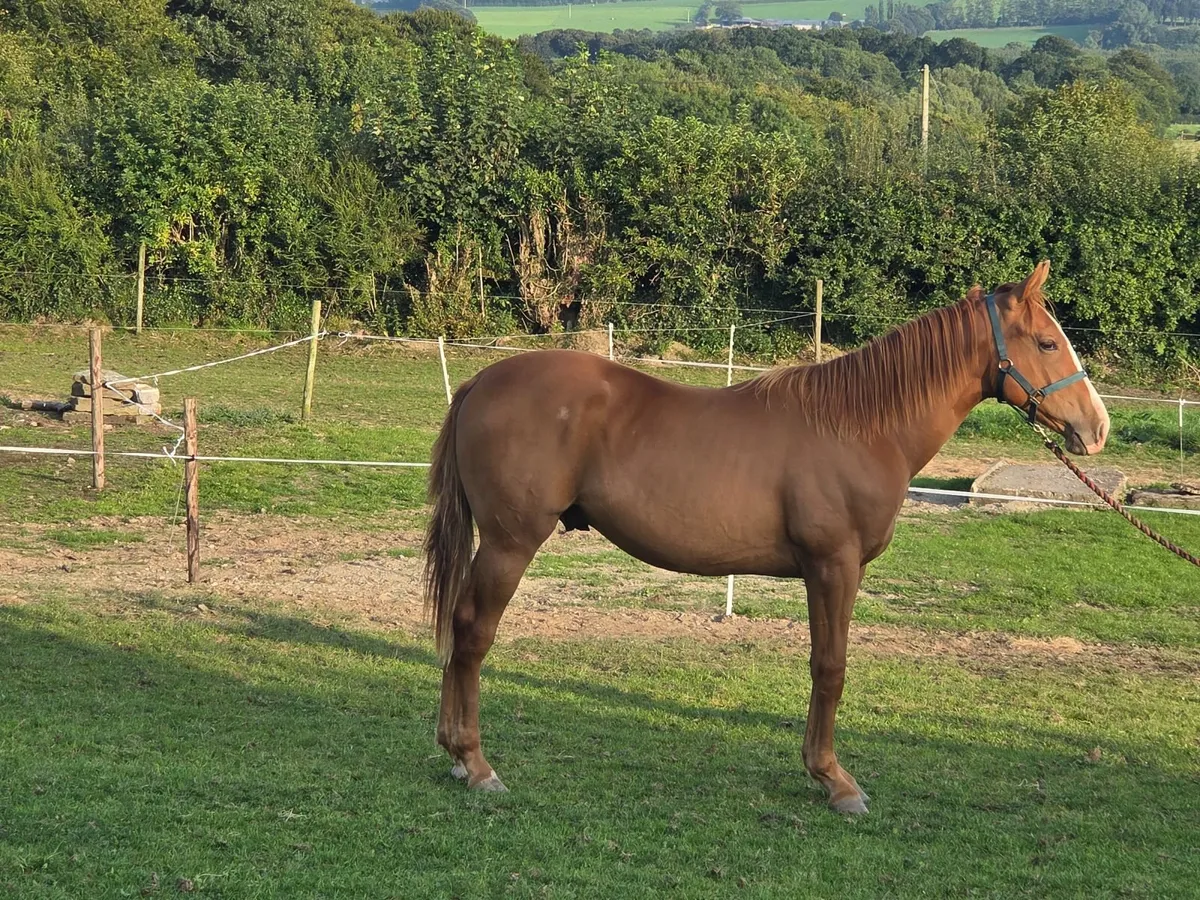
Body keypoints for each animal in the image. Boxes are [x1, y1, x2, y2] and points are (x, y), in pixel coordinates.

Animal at [422, 261, 1109, 814]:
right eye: (1047, 342)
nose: (1096, 428)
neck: (861, 427)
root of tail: (482, 382)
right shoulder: (834, 566)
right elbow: (830, 667)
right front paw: (834, 781)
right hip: (510, 543)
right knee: (473, 632)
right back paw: (475, 764)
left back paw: (455, 755)